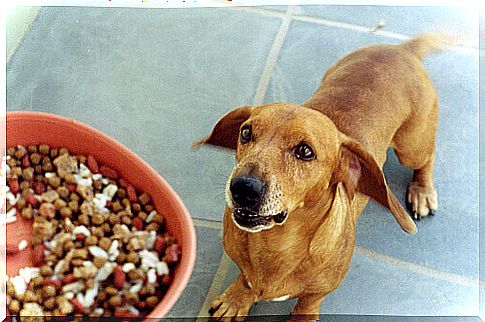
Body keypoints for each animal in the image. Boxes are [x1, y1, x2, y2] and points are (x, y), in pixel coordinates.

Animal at [194, 34, 446, 320]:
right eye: (245, 133)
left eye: (305, 151)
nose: (243, 188)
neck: (275, 244)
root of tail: (401, 50)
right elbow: (245, 279)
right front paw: (236, 299)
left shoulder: (321, 290)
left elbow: (307, 304)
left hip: (411, 148)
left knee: (428, 156)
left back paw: (422, 191)